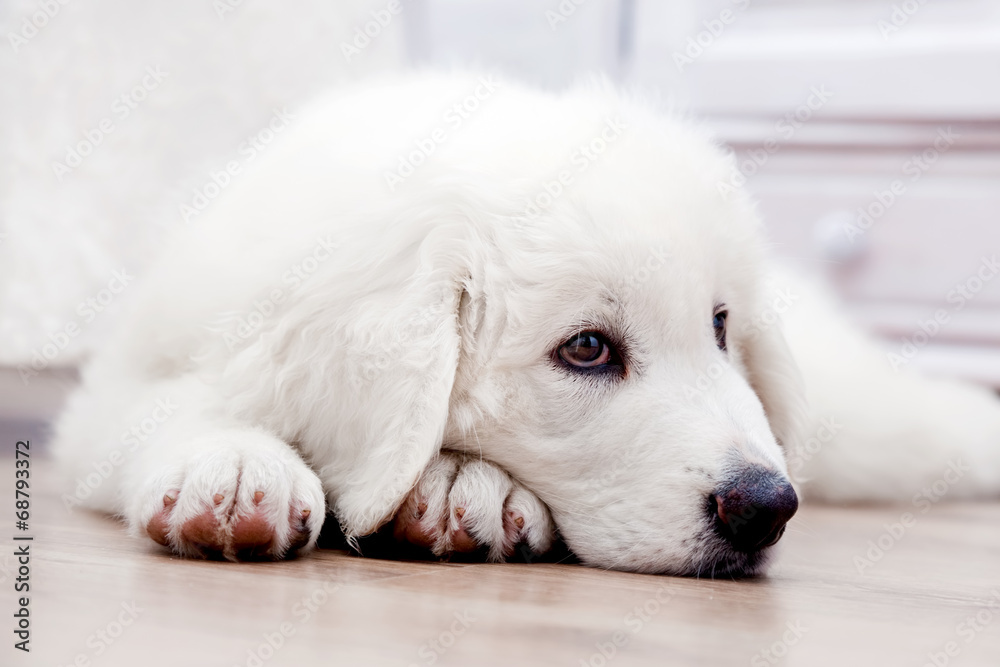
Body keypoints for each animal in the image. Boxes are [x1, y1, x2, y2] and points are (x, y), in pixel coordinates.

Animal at [52, 72, 1000, 576]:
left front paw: (463, 485)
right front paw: (239, 463)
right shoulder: (121, 381)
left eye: (722, 325)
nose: (767, 506)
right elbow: (169, 405)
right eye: (586, 349)